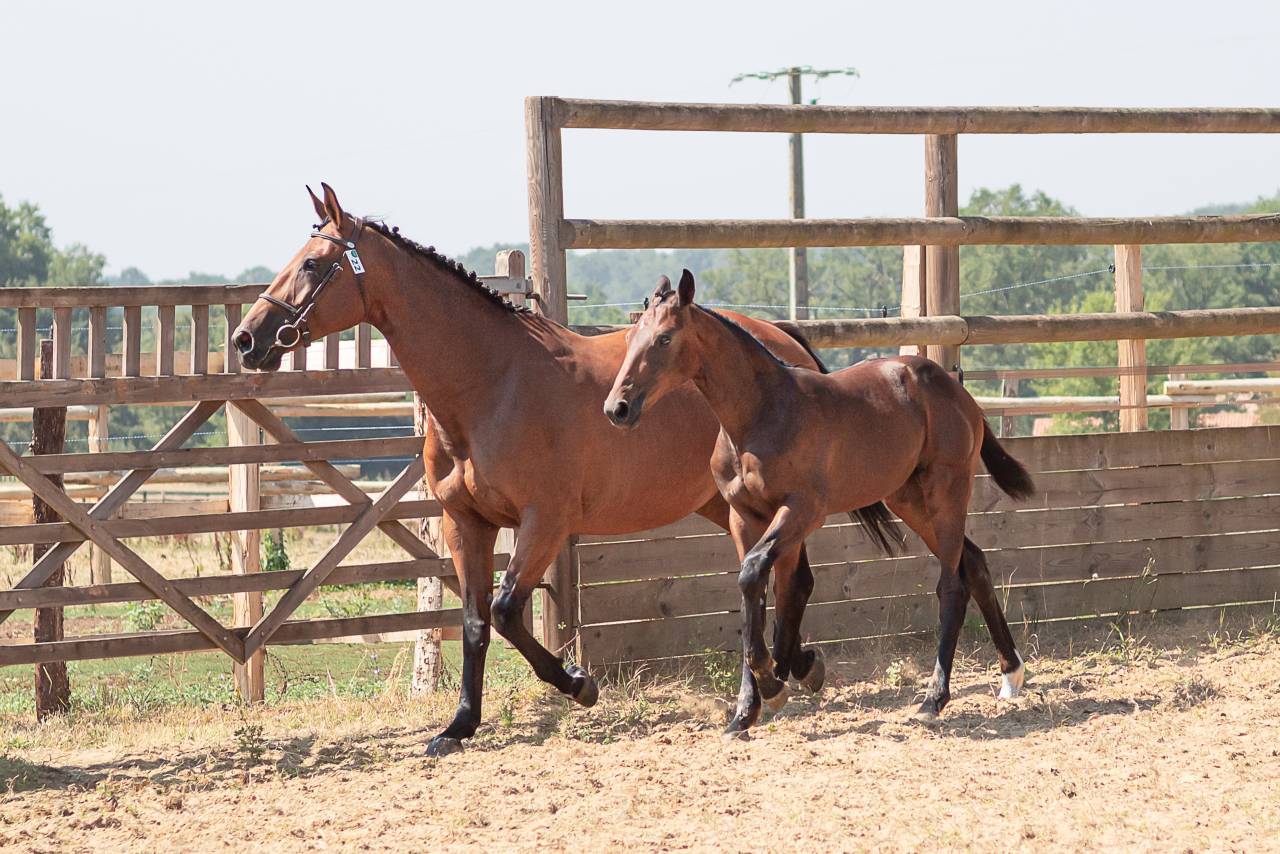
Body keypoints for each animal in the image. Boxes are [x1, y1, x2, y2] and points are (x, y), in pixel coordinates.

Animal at [232, 184, 892, 750]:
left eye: (313, 264)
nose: (246, 338)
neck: (490, 385)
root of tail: (780, 343)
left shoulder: (544, 523)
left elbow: (504, 611)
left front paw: (580, 684)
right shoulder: (464, 523)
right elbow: (474, 622)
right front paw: (458, 727)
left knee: (780, 583)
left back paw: (775, 684)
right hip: (735, 507)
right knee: (786, 582)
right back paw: (788, 676)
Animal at [603, 270, 1036, 726]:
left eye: (665, 338)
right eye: (631, 337)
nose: (618, 408)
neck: (762, 413)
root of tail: (958, 392)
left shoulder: (803, 510)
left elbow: (757, 575)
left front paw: (773, 685)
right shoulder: (745, 516)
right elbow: (757, 590)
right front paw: (748, 708)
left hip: (946, 490)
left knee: (952, 584)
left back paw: (934, 697)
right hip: (909, 500)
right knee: (974, 562)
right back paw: (1011, 673)